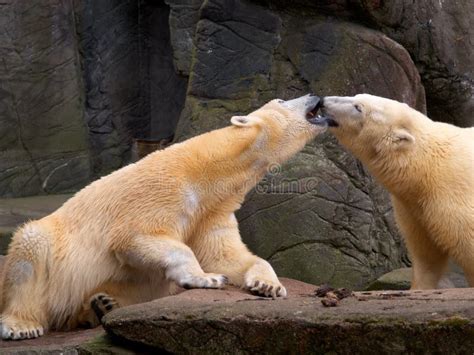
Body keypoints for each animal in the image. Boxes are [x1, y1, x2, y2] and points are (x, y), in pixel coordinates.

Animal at [0, 94, 326, 340]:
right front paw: (207, 278)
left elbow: (226, 255)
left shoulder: (212, 211)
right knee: (29, 251)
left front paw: (268, 285)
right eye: (282, 100)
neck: (208, 172)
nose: (315, 95)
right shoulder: (164, 190)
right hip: (53, 255)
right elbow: (138, 237)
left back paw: (103, 304)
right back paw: (22, 325)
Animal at [314, 95, 474, 292]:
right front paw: (418, 287)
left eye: (358, 107)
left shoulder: (452, 194)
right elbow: (426, 255)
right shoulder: (414, 209)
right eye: (357, 96)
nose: (323, 101)